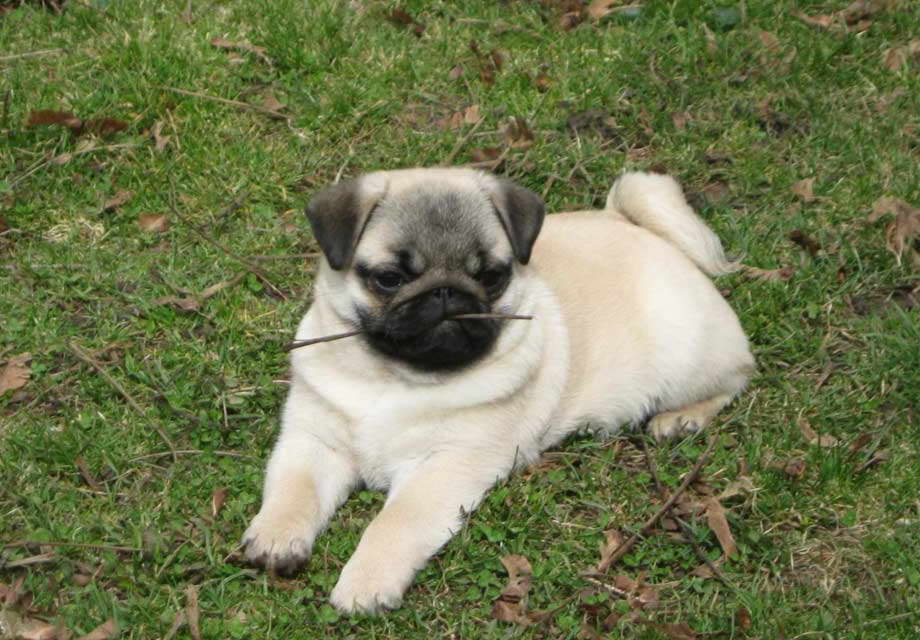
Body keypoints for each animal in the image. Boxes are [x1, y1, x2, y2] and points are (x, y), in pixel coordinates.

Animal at [243, 168, 756, 612]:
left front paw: (367, 580)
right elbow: (295, 491)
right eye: (389, 279)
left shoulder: (445, 467)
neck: (394, 376)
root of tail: (645, 230)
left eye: (490, 276)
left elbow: (394, 524)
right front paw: (276, 536)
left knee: (737, 376)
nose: (446, 293)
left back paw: (681, 419)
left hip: (687, 361)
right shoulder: (313, 443)